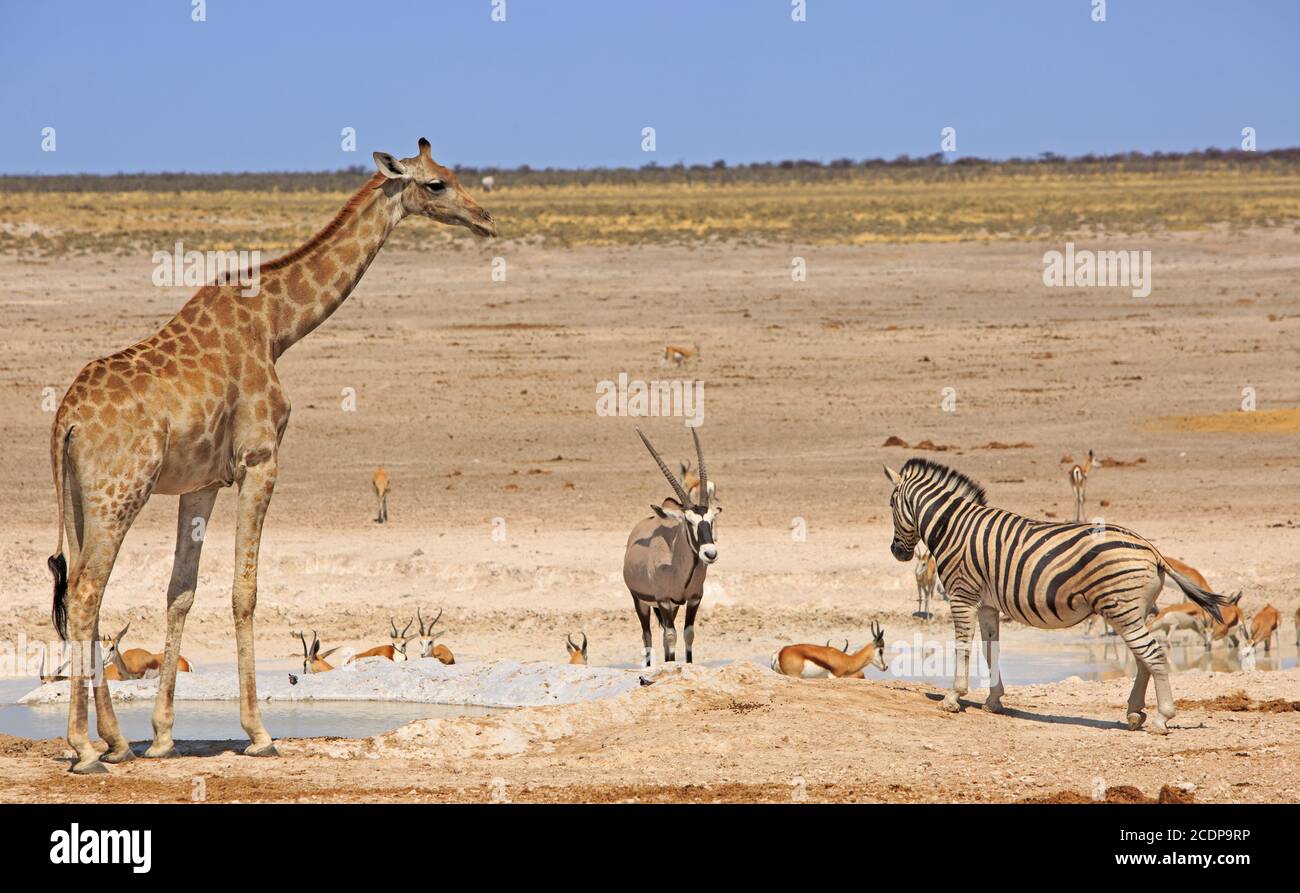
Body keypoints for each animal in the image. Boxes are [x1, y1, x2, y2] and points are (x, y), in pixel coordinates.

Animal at [45, 136, 491, 769]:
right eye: (436, 184)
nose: (485, 219)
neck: (277, 327)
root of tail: (67, 418)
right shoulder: (260, 461)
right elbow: (244, 592)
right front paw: (259, 732)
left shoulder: (201, 482)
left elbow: (180, 593)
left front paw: (162, 737)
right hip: (119, 493)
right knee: (85, 595)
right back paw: (84, 746)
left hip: (80, 501)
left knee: (86, 593)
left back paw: (115, 742)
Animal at [883, 457, 1227, 738]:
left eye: (890, 504)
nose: (896, 552)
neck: (952, 527)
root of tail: (1152, 550)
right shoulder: (988, 605)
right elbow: (991, 650)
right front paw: (994, 701)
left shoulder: (961, 595)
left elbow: (963, 648)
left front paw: (953, 698)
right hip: (1132, 610)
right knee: (1143, 658)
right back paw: (1134, 713)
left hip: (1122, 610)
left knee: (1152, 655)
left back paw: (1160, 719)